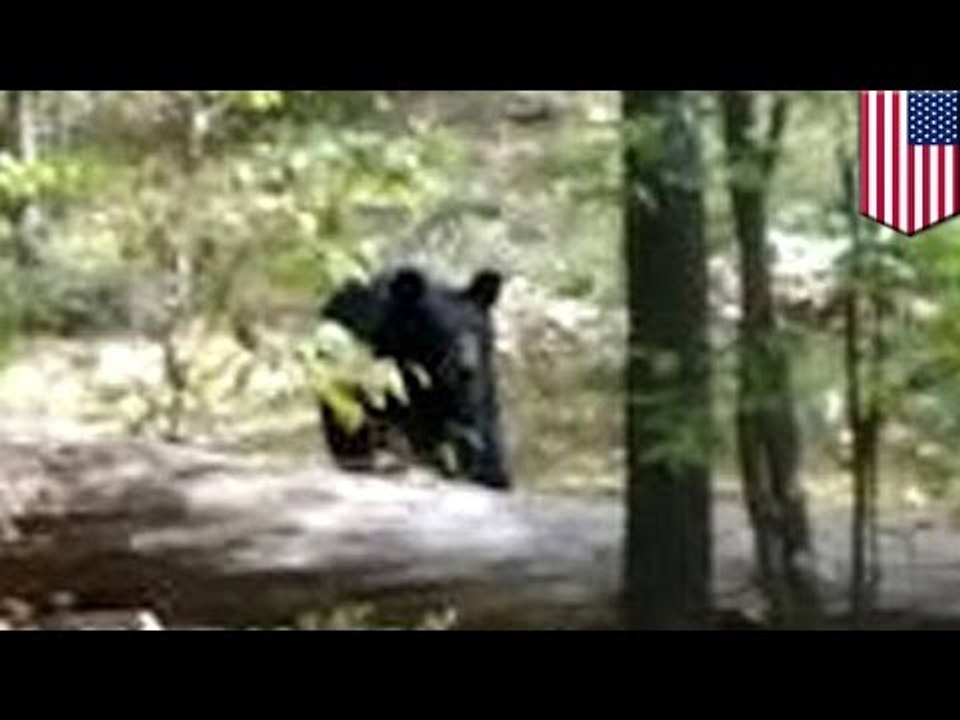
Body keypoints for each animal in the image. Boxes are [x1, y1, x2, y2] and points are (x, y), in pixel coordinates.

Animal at [315, 266, 512, 491]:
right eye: (441, 332)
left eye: (474, 329)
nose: (466, 367)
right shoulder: (375, 362)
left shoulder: (471, 384)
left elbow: (474, 422)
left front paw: (489, 475)